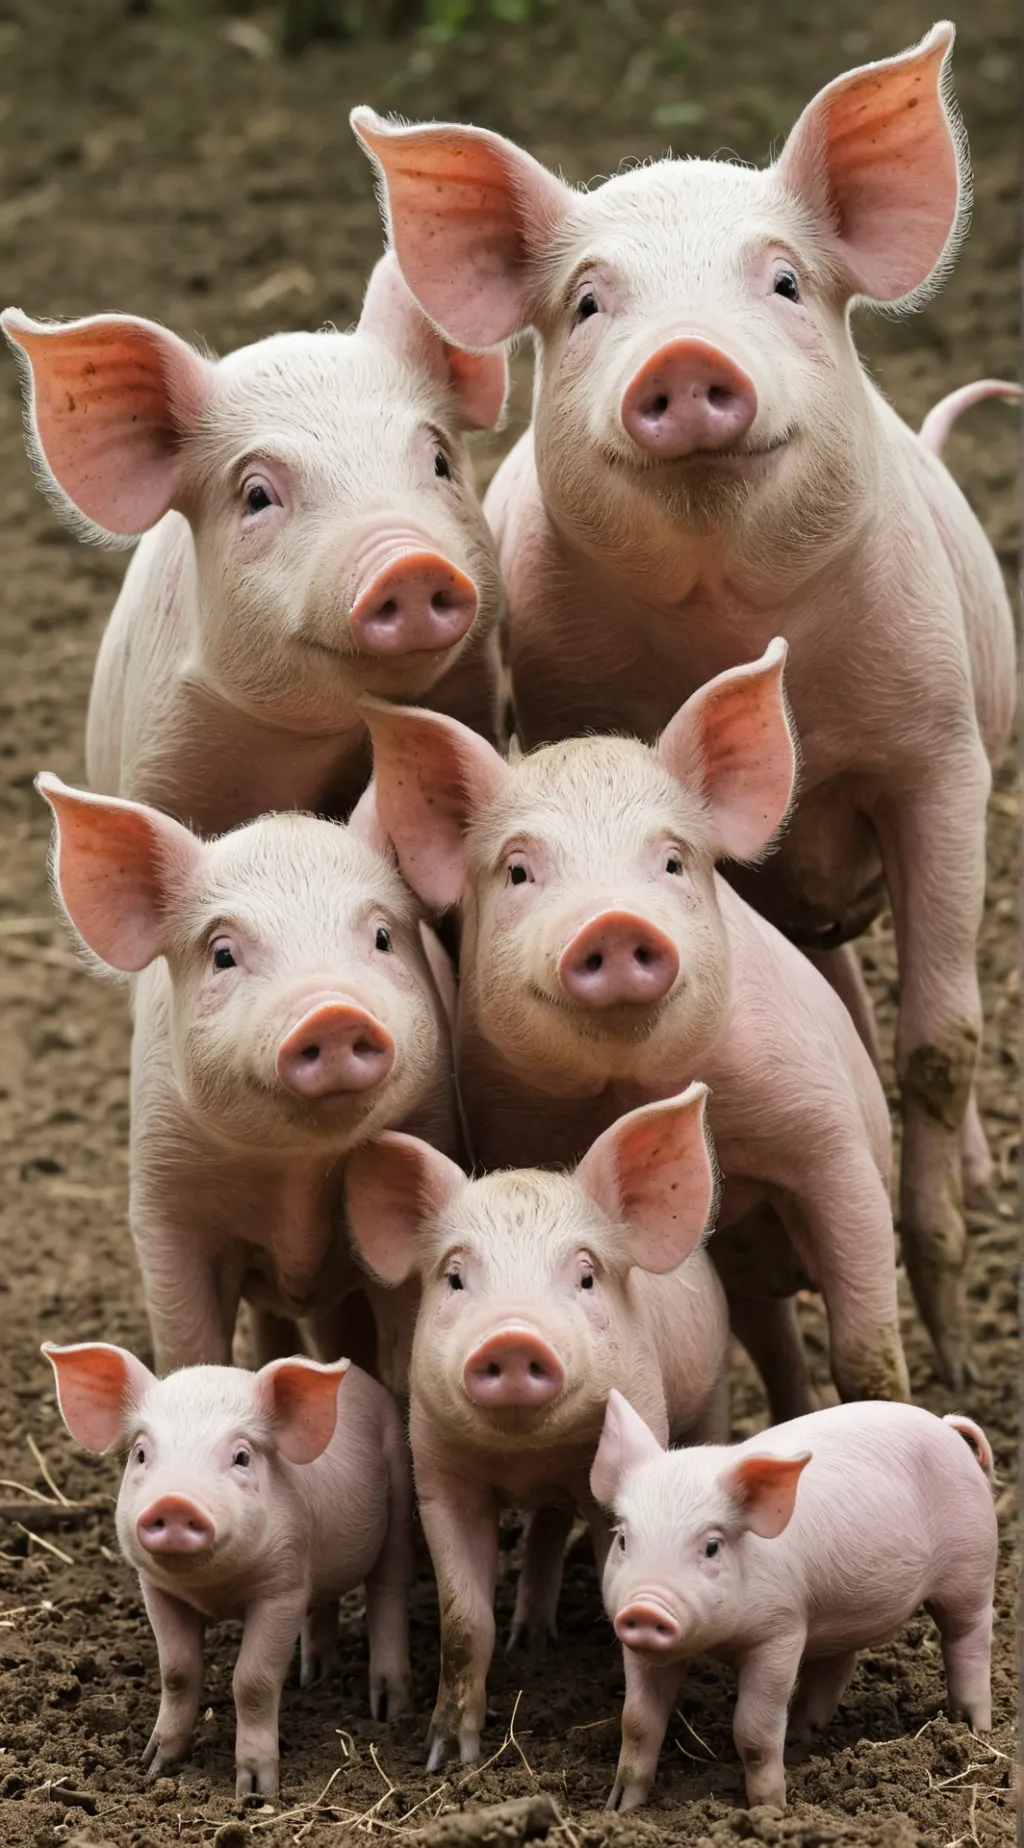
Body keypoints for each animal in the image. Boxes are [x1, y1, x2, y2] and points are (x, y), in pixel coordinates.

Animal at [37, 773, 458, 1378]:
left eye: (382, 937)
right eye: (223, 954)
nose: (332, 1012)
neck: (298, 1173)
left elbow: (405, 1346)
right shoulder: (164, 1203)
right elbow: (189, 1342)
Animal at [44, 1343, 413, 1795]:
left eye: (241, 1457)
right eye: (141, 1453)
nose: (175, 1502)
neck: (212, 1589)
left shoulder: (283, 1589)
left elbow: (253, 1680)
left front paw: (255, 1792)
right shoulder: (156, 1588)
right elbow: (177, 1671)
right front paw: (154, 1765)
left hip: (400, 1495)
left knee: (388, 1593)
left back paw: (388, 1710)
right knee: (327, 1602)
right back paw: (314, 1677)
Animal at [343, 1084, 730, 1768]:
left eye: (586, 1275)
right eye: (455, 1277)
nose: (514, 1336)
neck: (528, 1455)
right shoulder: (439, 1475)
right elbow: (464, 1620)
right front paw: (447, 1757)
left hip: (710, 1390)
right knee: (547, 1528)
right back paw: (529, 1641)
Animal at [361, 641, 911, 1418]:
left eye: (673, 860)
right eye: (520, 870)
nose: (615, 921)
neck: (628, 1084)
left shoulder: (825, 1123)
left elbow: (866, 1347)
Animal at [592, 1389, 997, 1811]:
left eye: (712, 1546)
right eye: (623, 1540)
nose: (644, 1606)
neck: (719, 1642)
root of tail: (946, 1426)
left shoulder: (780, 1631)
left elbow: (753, 1732)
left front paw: (770, 1810)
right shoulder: (641, 1650)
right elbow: (637, 1722)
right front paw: (619, 1809)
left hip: (972, 1565)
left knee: (967, 1638)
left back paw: (975, 1729)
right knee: (837, 1664)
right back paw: (802, 1737)